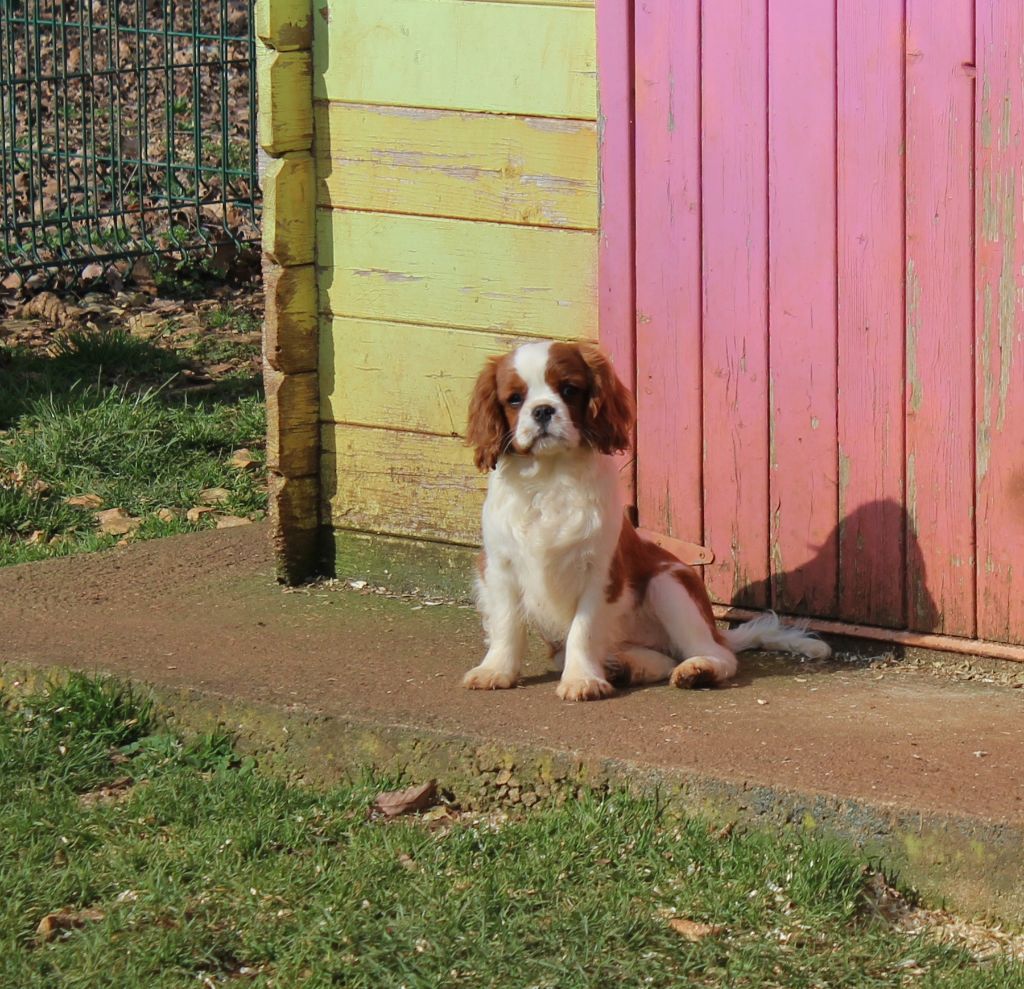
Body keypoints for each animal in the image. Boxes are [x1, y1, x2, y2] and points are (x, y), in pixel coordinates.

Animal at [460, 339, 827, 704]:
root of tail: (717, 630)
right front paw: (495, 670)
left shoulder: (601, 573)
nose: (542, 410)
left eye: (568, 390)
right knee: (661, 659)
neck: (550, 477)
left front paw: (582, 679)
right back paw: (624, 667)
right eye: (515, 398)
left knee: (717, 655)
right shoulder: (499, 568)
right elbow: (507, 624)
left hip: (669, 583)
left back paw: (697, 669)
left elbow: (583, 629)